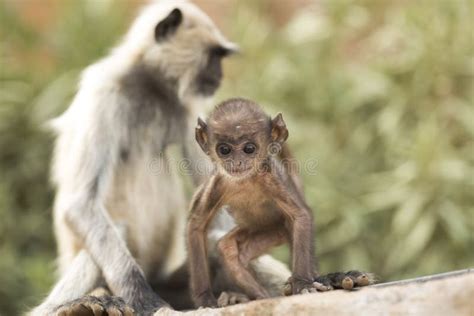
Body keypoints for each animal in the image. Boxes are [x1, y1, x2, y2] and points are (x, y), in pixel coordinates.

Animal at [29, 0, 290, 316]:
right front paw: (146, 302)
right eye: (214, 56)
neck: (150, 84)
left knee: (213, 241)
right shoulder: (104, 92)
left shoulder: (186, 107)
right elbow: (79, 204)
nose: (219, 74)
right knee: (112, 228)